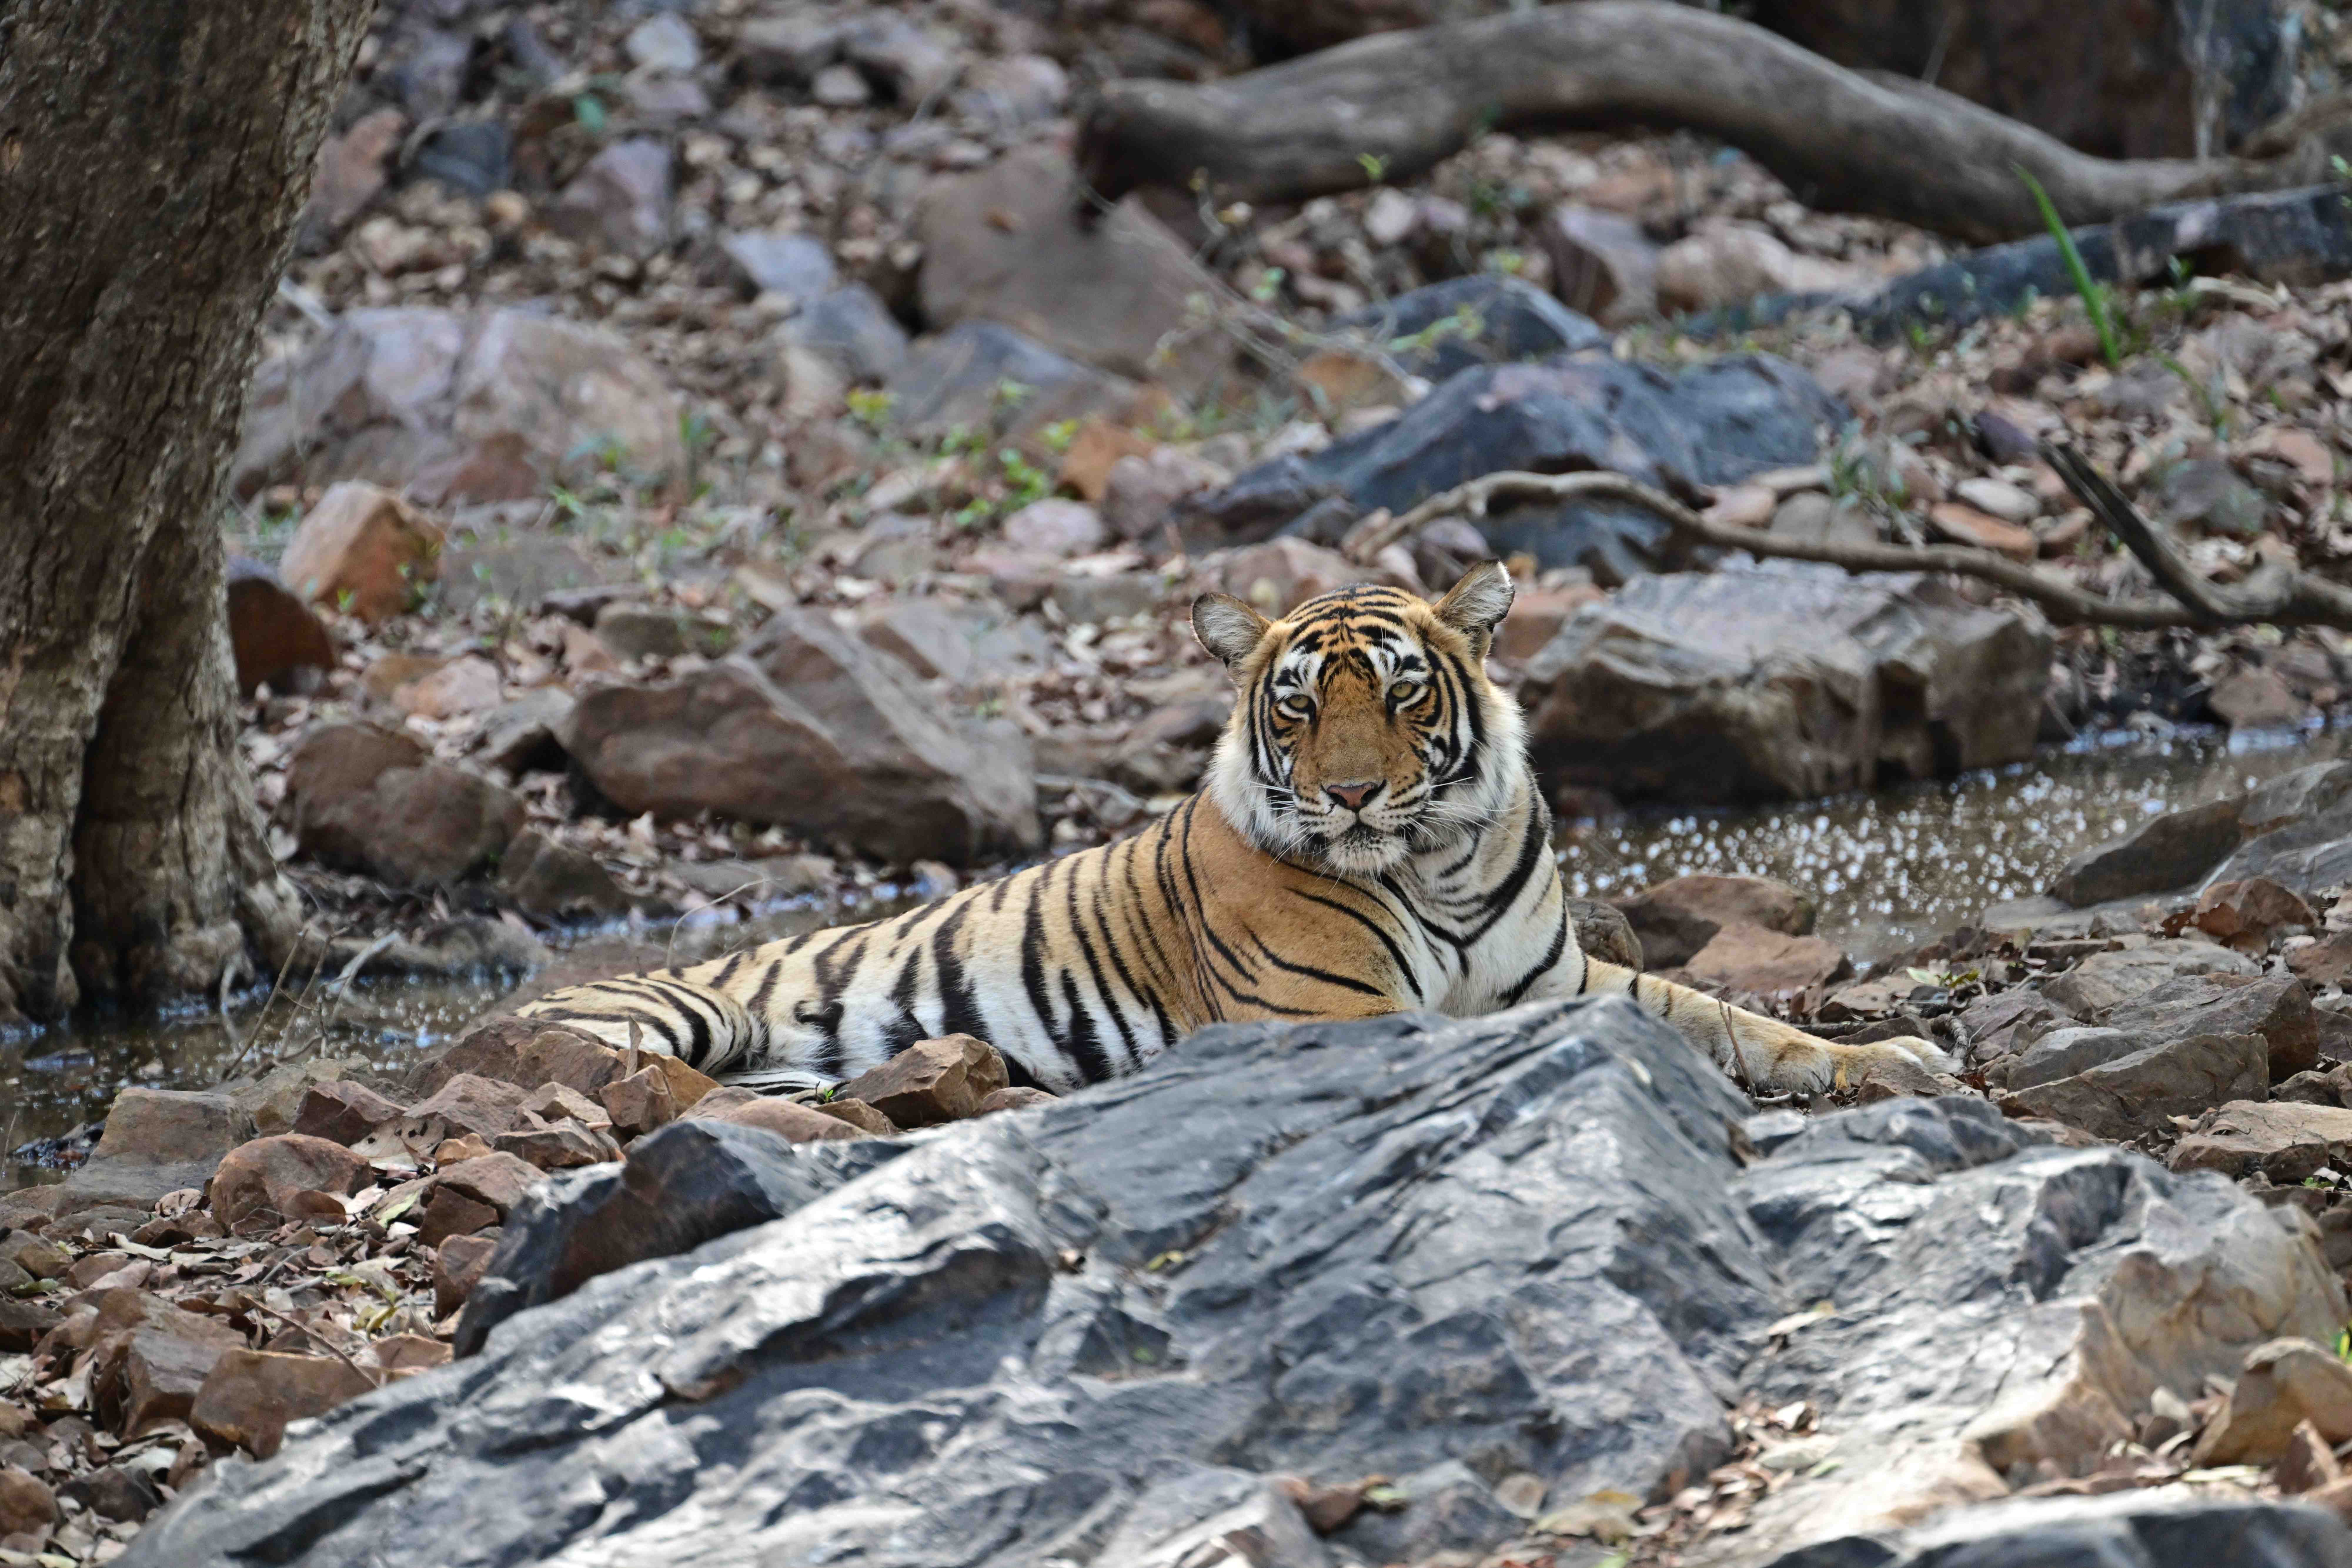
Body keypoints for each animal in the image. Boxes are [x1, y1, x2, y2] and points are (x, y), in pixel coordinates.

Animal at [517, 562, 1951, 1098]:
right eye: (1302, 704)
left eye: (1404, 692)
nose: (1356, 794)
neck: (1441, 864)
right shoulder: (1335, 1015)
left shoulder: (1562, 978)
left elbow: (1727, 1018)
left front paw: (1896, 1061)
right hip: (673, 1015)